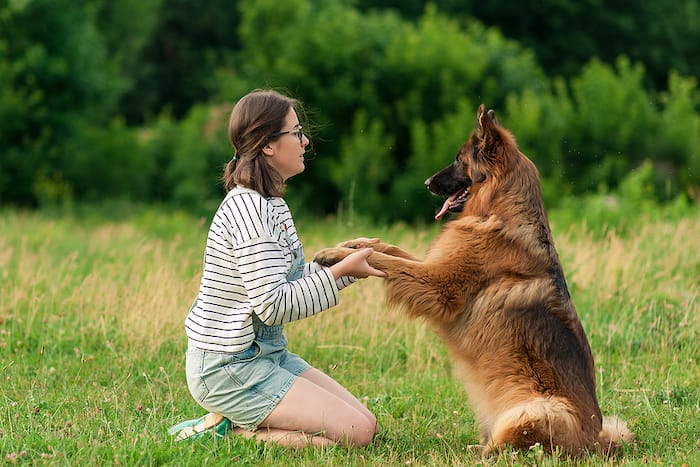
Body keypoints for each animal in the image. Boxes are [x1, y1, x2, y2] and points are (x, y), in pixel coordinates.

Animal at [314, 105, 632, 458]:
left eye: (458, 159)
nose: (426, 183)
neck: (498, 210)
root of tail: (597, 443)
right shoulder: (434, 265)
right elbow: (388, 249)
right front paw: (350, 245)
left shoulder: (439, 285)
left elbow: (389, 261)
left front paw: (338, 255)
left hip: (539, 411)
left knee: (510, 449)